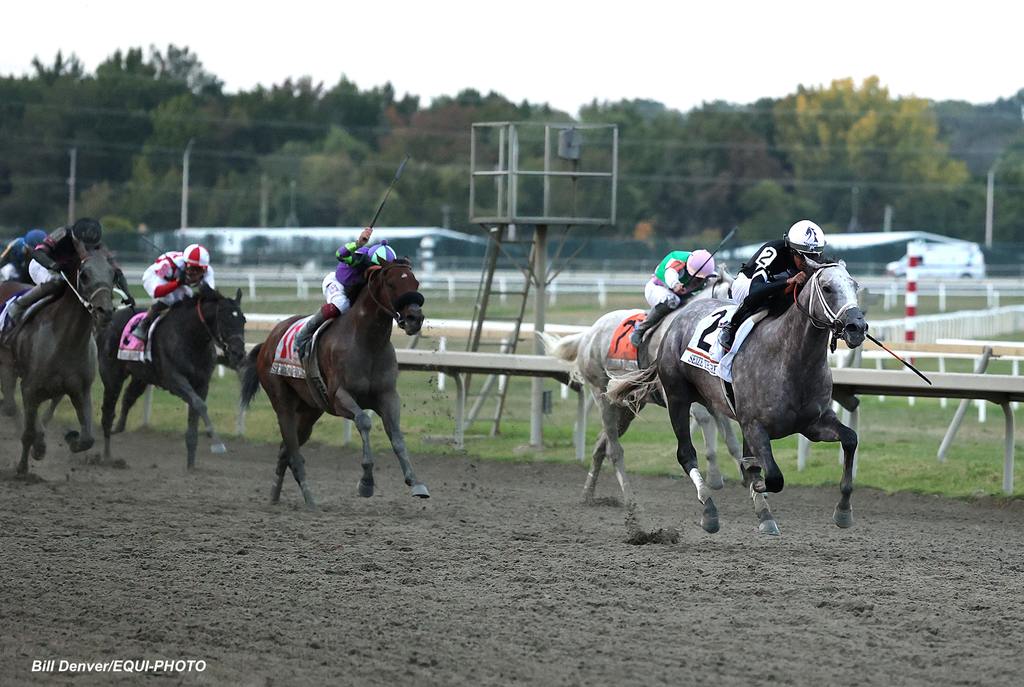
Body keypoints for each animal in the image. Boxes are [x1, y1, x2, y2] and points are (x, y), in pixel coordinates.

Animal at [237, 261, 425, 507]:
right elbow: (364, 421)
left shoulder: (388, 395)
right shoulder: (339, 396)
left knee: (284, 449)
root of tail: (268, 341)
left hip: (309, 411)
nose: (415, 318)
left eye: (415, 283)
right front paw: (366, 482)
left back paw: (275, 496)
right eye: (392, 284)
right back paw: (309, 499)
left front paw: (416, 482)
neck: (368, 342)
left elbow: (396, 435)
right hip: (282, 403)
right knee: (293, 451)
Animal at [544, 268, 737, 522]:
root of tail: (588, 334)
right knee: (614, 450)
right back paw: (631, 500)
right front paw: (714, 476)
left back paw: (587, 494)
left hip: (626, 406)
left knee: (601, 445)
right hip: (602, 395)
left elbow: (730, 437)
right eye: (732, 295)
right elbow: (706, 420)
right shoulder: (675, 392)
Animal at [606, 261, 864, 536]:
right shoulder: (755, 426)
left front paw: (844, 511)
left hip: (710, 400)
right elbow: (772, 477)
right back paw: (709, 511)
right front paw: (757, 487)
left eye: (854, 285)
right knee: (686, 453)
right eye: (827, 287)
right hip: (677, 398)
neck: (791, 358)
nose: (858, 327)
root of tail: (677, 320)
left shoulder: (813, 424)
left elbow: (850, 439)